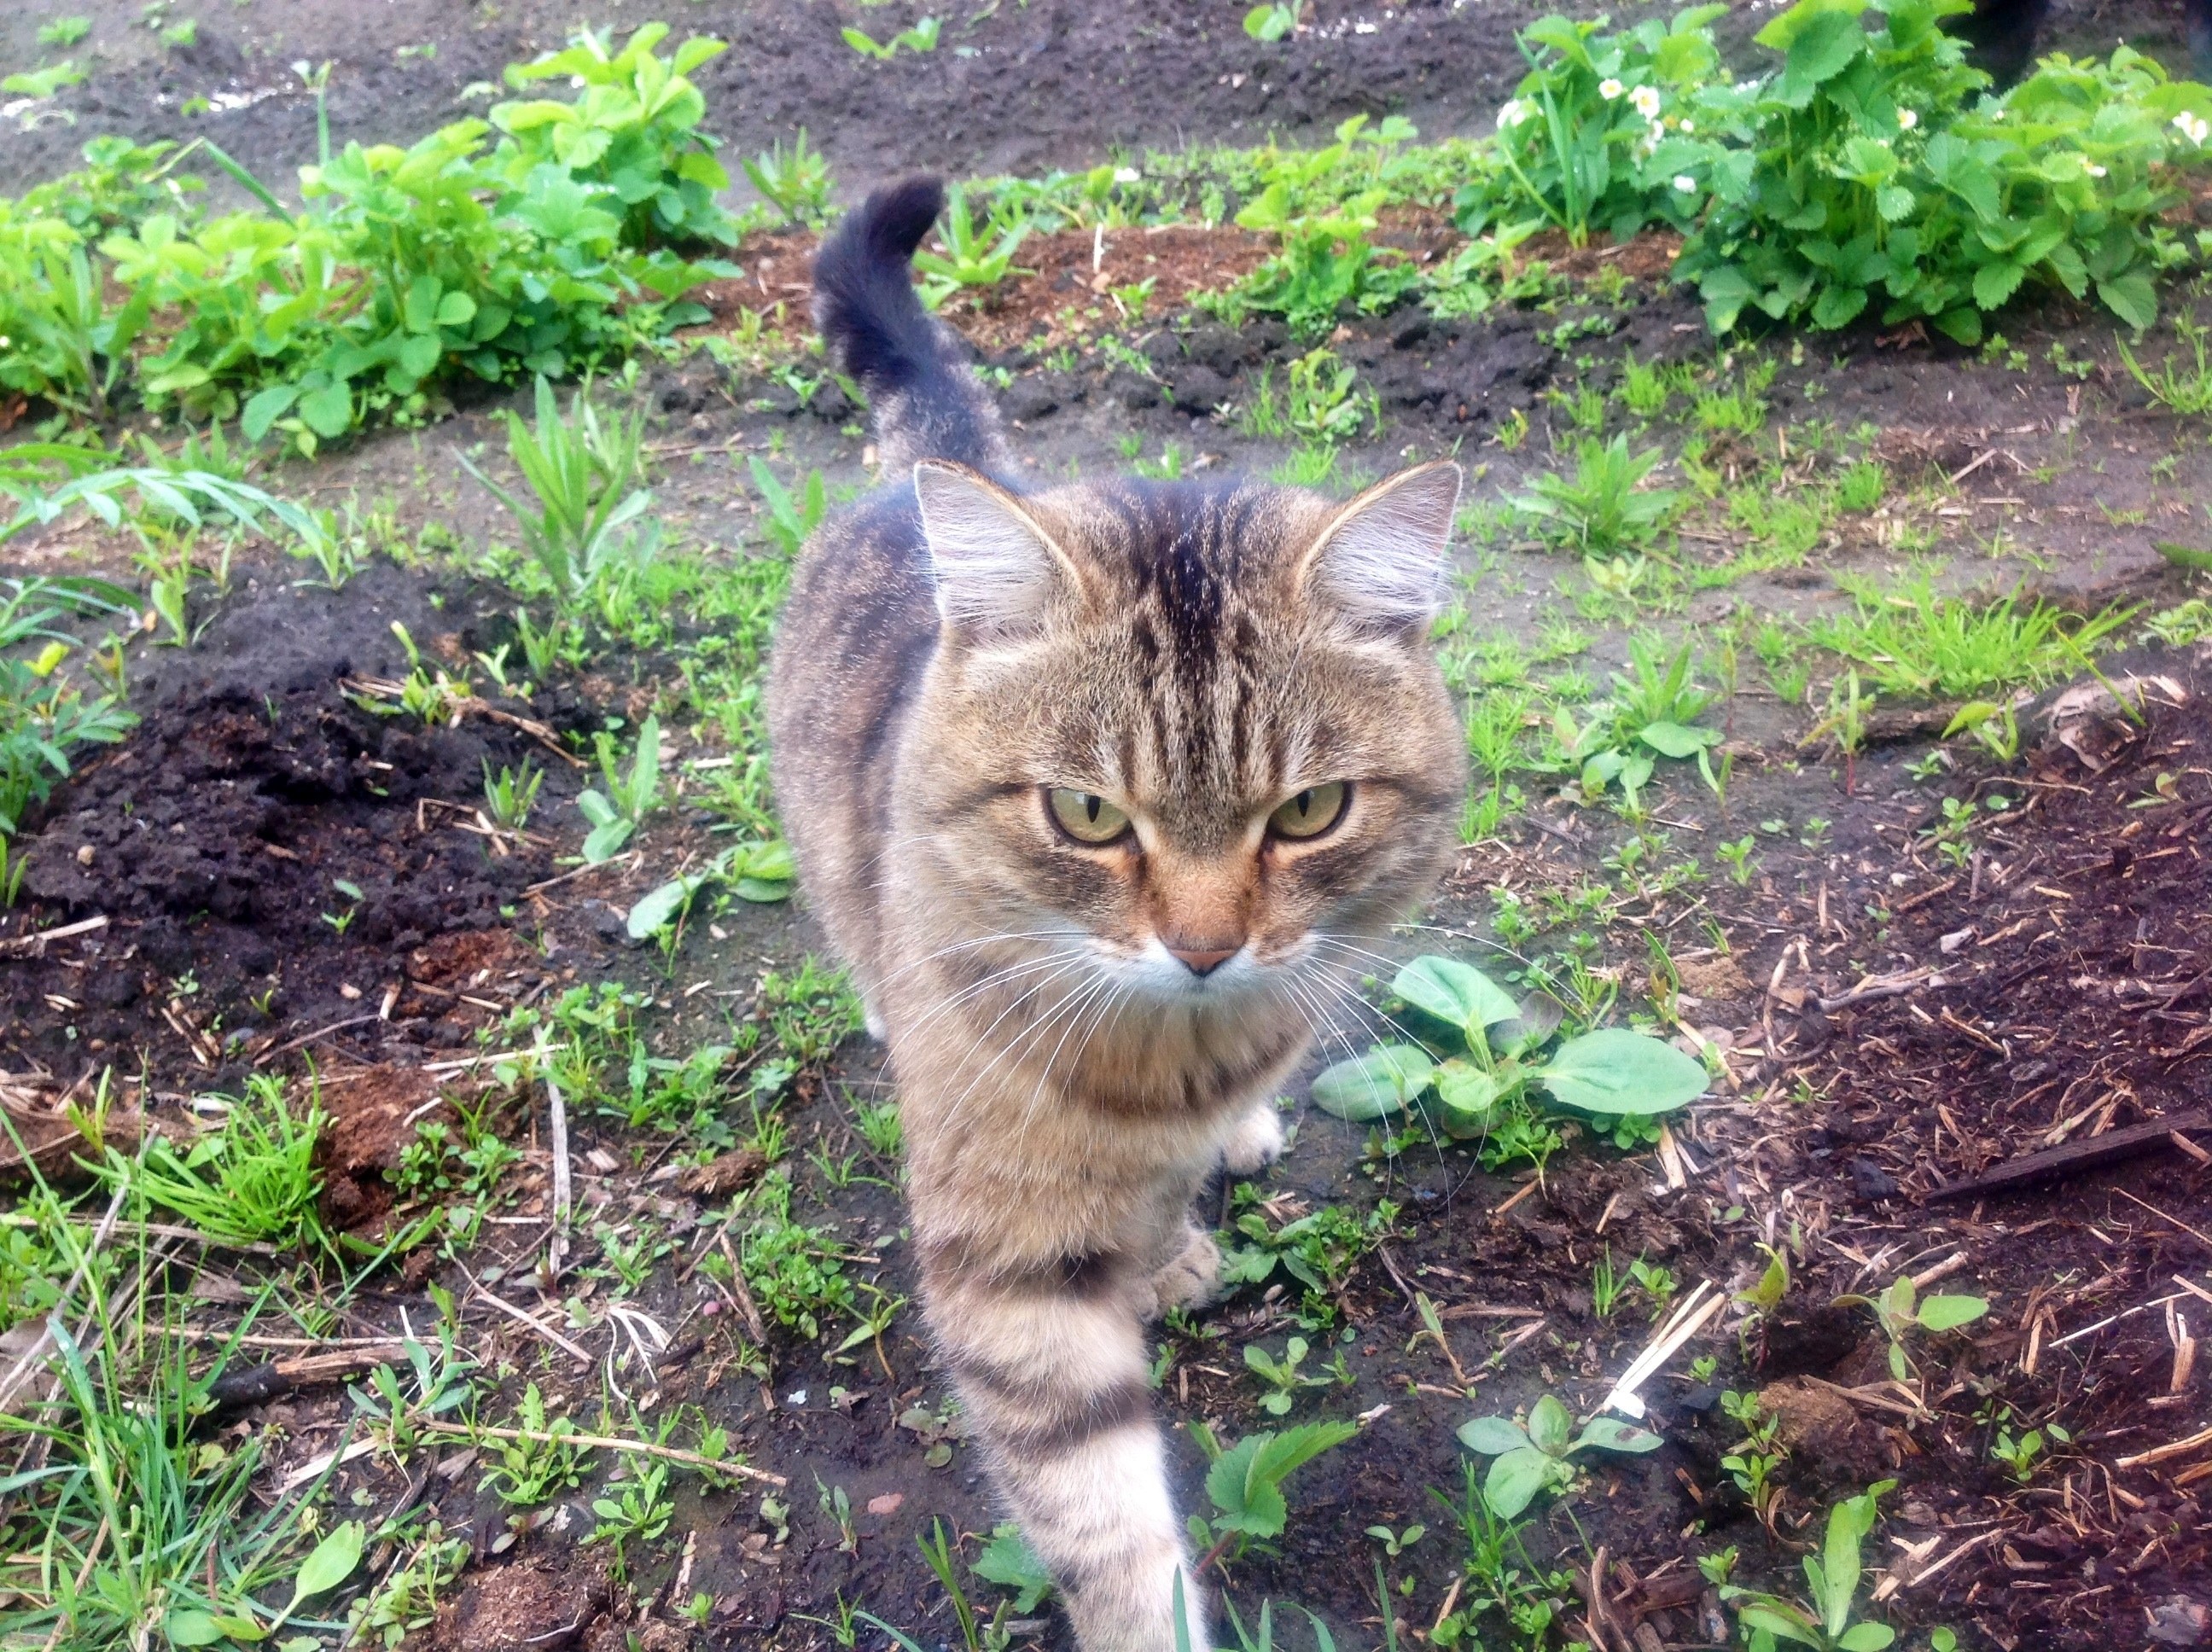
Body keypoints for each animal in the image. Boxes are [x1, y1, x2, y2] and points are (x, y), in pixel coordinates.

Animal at [765, 181, 1469, 1652]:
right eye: (1088, 816)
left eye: (1311, 810)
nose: (1204, 948)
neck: (1173, 1065)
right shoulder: (1006, 1259)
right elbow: (1103, 1517)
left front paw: (1172, 1238)